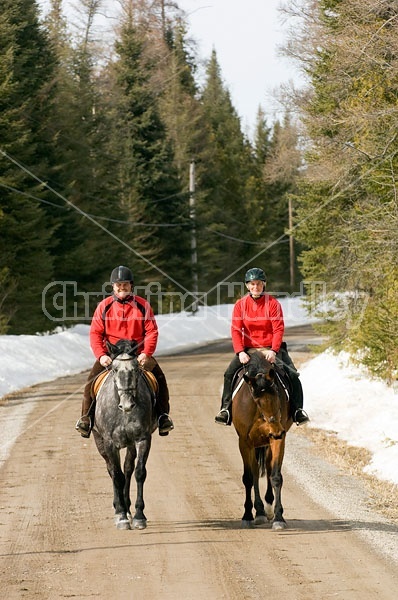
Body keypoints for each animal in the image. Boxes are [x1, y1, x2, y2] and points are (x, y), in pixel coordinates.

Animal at [92, 340, 156, 528]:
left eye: (135, 369)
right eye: (114, 369)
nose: (127, 405)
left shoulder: (142, 439)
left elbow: (139, 472)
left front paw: (139, 515)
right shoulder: (109, 443)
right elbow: (117, 475)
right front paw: (120, 516)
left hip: (130, 444)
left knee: (127, 469)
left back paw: (127, 508)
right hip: (100, 442)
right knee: (112, 471)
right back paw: (119, 508)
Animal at [232, 352, 294, 528]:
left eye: (277, 396)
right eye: (257, 401)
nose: (277, 430)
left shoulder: (278, 440)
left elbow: (276, 476)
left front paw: (279, 517)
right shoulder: (244, 442)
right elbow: (248, 478)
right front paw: (247, 515)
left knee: (267, 466)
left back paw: (267, 508)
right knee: (254, 471)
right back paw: (259, 512)